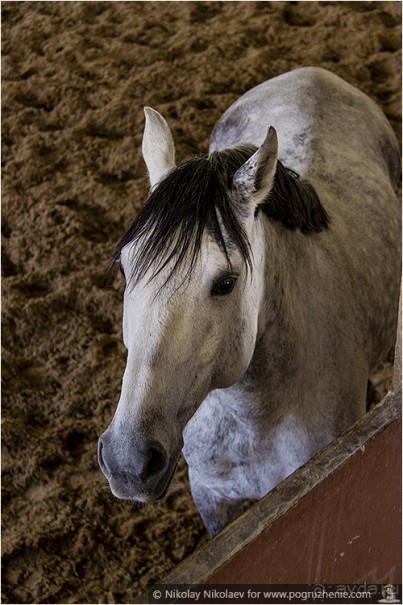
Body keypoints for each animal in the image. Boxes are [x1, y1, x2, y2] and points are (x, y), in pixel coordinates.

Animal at [98, 68, 400, 536]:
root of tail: (311, 73)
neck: (258, 419)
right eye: (126, 269)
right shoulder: (213, 498)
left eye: (225, 282)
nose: (128, 461)